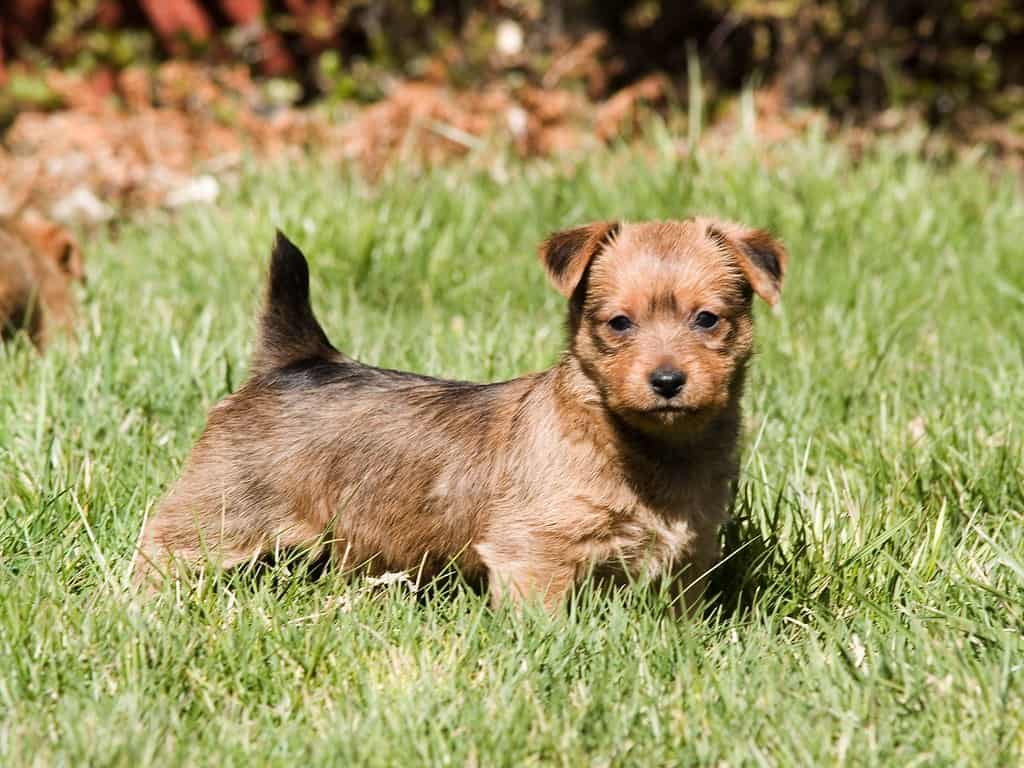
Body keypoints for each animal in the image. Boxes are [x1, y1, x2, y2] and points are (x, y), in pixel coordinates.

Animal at [136, 219, 786, 610]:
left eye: (707, 319)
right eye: (619, 323)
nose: (668, 381)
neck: (649, 449)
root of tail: (298, 359)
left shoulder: (687, 562)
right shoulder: (534, 555)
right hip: (220, 513)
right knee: (163, 548)